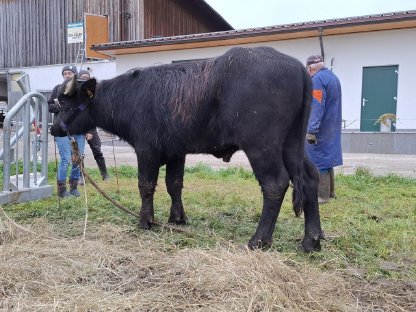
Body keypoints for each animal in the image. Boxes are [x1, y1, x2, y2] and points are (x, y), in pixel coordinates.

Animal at [50, 46, 324, 251]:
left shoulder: (146, 150)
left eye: (64, 102)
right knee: (311, 176)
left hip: (262, 146)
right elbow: (174, 184)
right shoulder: (176, 152)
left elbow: (146, 185)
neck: (129, 98)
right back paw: (311, 240)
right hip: (292, 144)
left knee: (275, 184)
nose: (53, 130)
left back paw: (259, 240)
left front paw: (145, 220)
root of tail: (297, 67)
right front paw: (177, 218)